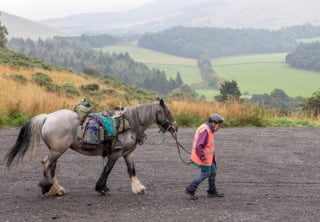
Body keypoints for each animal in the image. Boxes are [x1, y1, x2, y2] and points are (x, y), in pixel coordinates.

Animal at [5, 99, 178, 196]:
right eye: (168, 112)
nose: (175, 127)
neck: (129, 123)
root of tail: (47, 117)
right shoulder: (116, 153)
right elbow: (107, 169)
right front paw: (101, 188)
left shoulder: (128, 153)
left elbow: (132, 170)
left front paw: (138, 188)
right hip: (58, 150)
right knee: (47, 163)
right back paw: (47, 187)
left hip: (56, 150)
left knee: (50, 165)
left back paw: (57, 189)